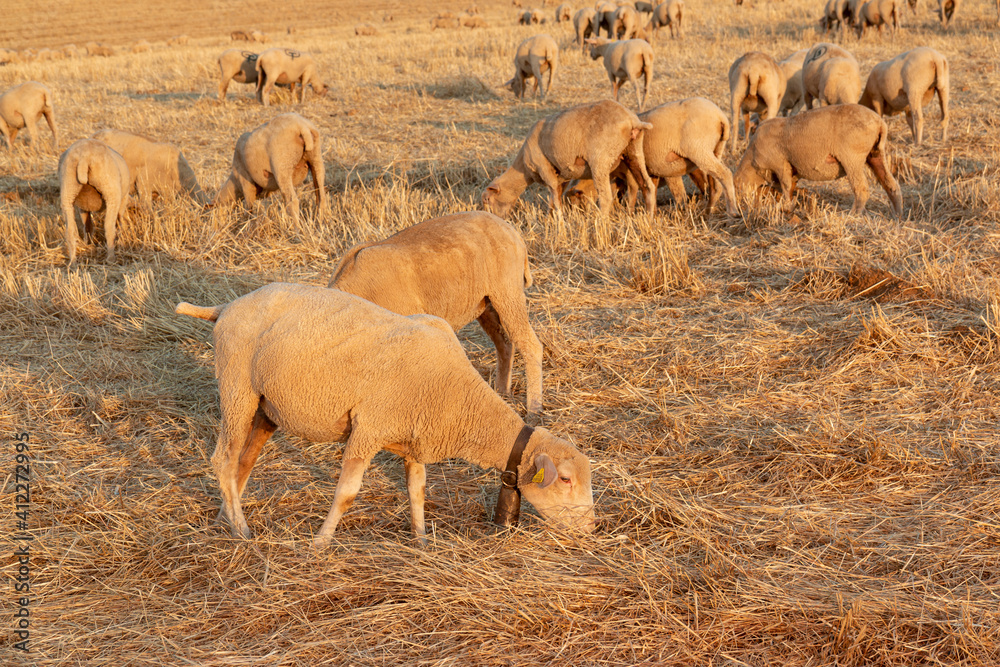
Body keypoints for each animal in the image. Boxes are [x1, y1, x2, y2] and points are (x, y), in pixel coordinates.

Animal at [175, 283, 595, 545]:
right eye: (566, 480)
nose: (592, 527)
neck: (457, 396)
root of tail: (227, 306)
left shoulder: (415, 438)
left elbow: (417, 491)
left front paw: (421, 541)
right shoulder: (369, 428)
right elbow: (347, 493)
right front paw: (320, 543)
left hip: (267, 406)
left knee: (241, 461)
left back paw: (226, 517)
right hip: (236, 388)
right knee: (223, 458)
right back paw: (242, 531)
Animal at [328, 212, 544, 417]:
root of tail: (512, 232)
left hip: (507, 291)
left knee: (530, 344)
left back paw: (534, 409)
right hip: (485, 303)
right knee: (505, 344)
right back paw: (502, 392)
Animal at [481, 99, 656, 218]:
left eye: (487, 200)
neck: (523, 168)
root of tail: (631, 119)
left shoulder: (544, 169)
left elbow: (554, 198)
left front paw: (559, 224)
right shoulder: (563, 176)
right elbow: (555, 198)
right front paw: (551, 219)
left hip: (600, 159)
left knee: (606, 196)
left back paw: (601, 225)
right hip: (634, 151)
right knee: (647, 185)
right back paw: (649, 219)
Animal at [734, 104, 903, 220]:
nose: (739, 210)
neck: (752, 162)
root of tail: (880, 123)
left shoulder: (780, 164)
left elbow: (786, 187)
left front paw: (786, 206)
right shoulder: (792, 171)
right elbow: (789, 187)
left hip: (852, 157)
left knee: (861, 189)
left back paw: (853, 214)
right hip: (875, 154)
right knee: (891, 185)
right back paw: (897, 215)